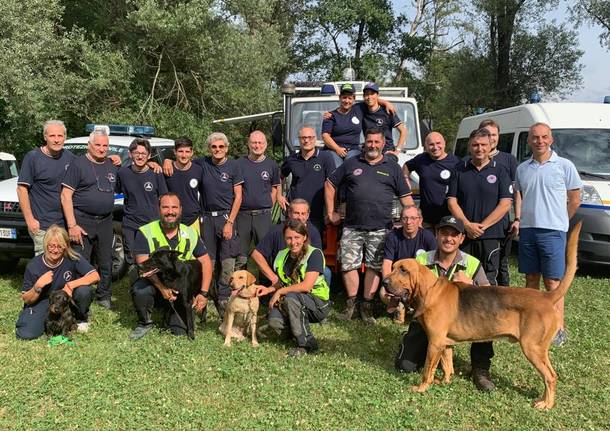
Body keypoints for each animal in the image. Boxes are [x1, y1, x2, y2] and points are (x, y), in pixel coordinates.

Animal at [384, 223, 580, 412]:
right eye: (393, 268)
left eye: (403, 270)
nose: (384, 282)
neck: (432, 290)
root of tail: (547, 297)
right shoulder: (444, 344)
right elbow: (447, 366)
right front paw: (444, 382)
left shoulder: (434, 343)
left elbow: (427, 370)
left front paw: (422, 388)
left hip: (533, 349)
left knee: (550, 377)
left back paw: (546, 404)